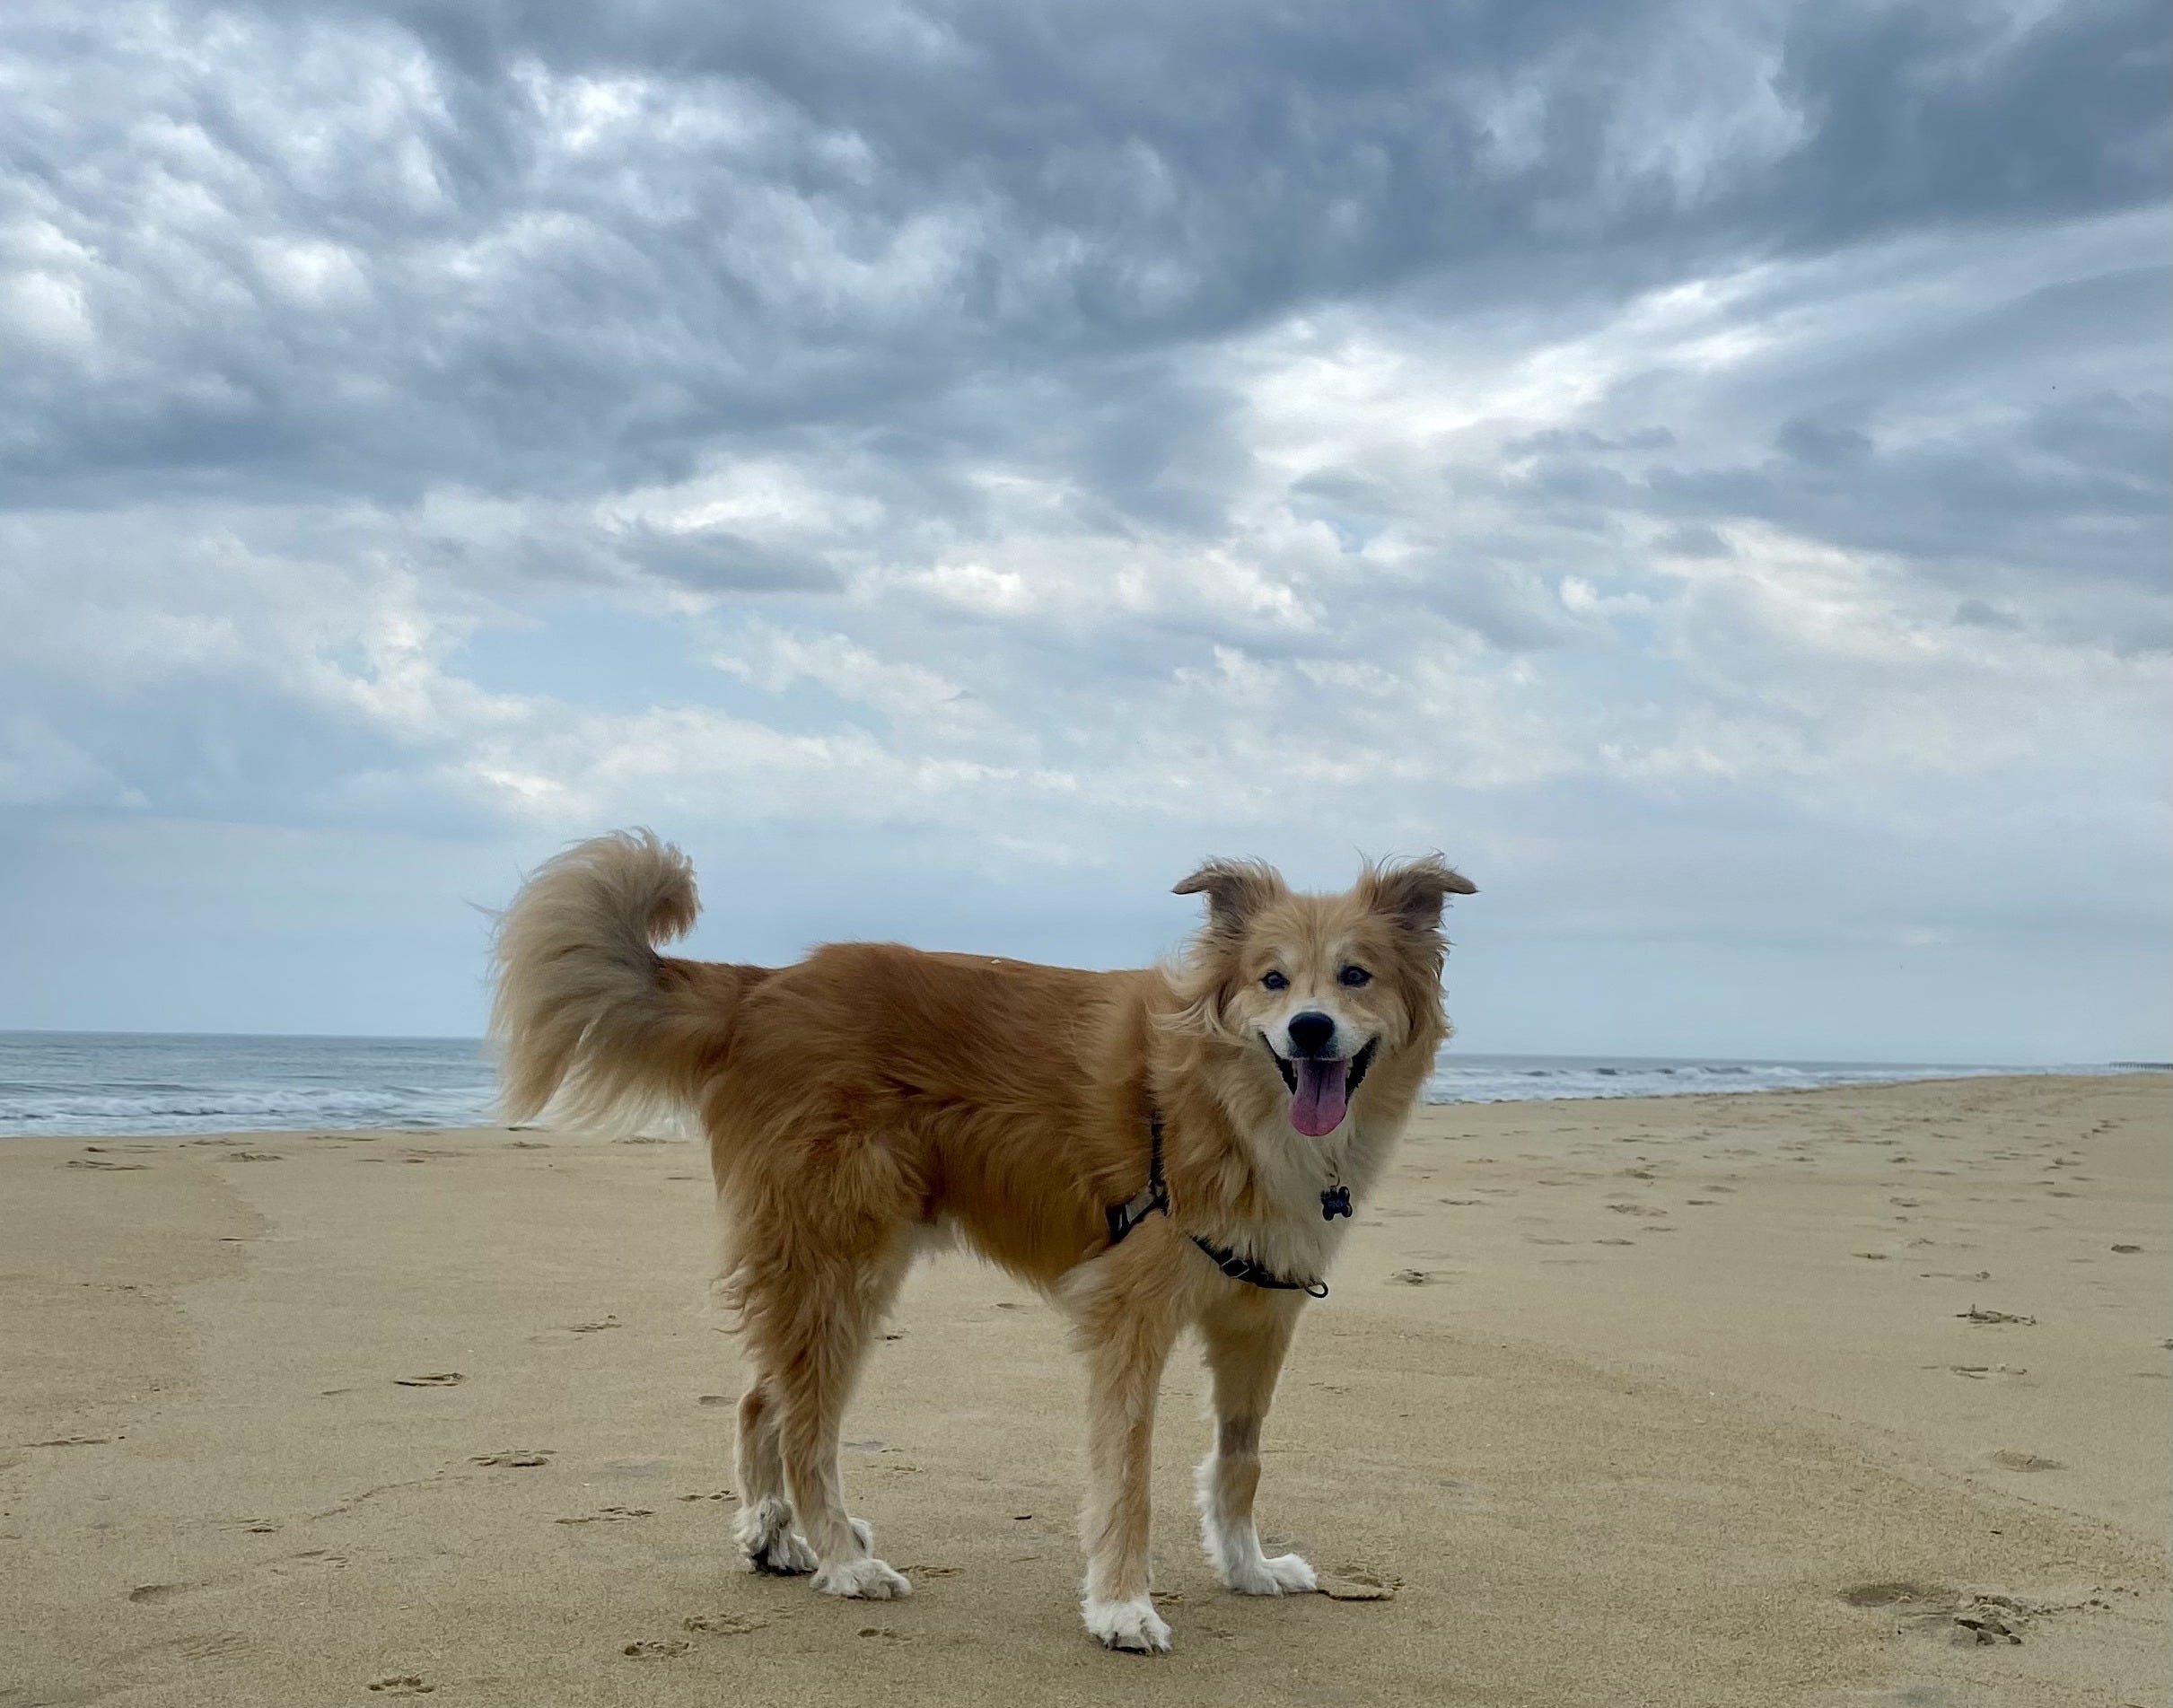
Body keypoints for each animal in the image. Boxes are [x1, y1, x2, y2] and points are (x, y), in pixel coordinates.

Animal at [489, 832, 1475, 1653]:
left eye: (1355, 975)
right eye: (1273, 980)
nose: (1309, 1028)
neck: (1226, 1104)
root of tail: (763, 985)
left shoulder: (1258, 1315)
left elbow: (1241, 1458)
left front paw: (1247, 1567)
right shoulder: (1129, 1316)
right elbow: (1127, 1476)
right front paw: (1122, 1605)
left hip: (825, 1261)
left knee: (760, 1394)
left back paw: (777, 1534)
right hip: (844, 1261)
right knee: (806, 1423)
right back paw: (843, 1557)